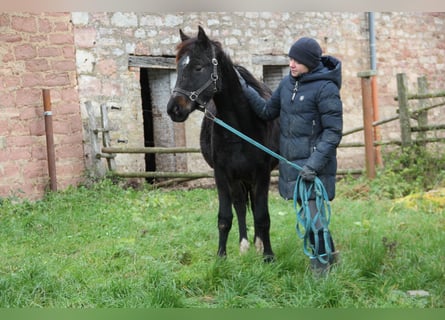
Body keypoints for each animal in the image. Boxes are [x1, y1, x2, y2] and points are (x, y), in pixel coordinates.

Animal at [166, 25, 278, 260]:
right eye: (178, 68)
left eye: (198, 67)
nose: (174, 109)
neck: (240, 127)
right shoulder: (221, 173)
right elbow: (225, 217)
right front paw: (221, 256)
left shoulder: (262, 173)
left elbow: (262, 215)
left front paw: (268, 255)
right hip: (237, 179)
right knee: (241, 205)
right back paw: (245, 245)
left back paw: (258, 244)